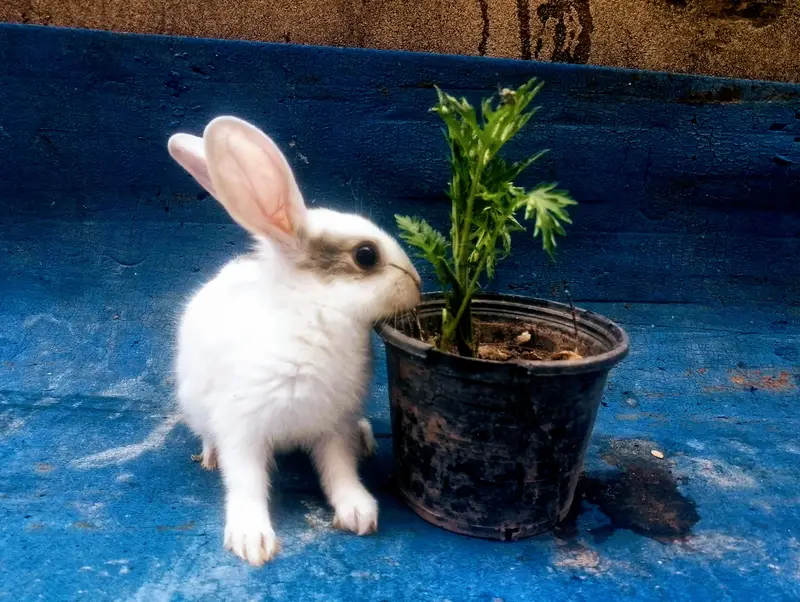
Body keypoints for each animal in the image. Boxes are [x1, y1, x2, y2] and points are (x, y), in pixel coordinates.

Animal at [167, 116, 421, 566]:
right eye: (367, 255)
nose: (420, 286)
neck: (315, 316)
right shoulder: (242, 427)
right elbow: (246, 481)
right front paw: (252, 540)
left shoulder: (333, 426)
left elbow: (340, 470)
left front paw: (359, 513)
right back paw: (209, 457)